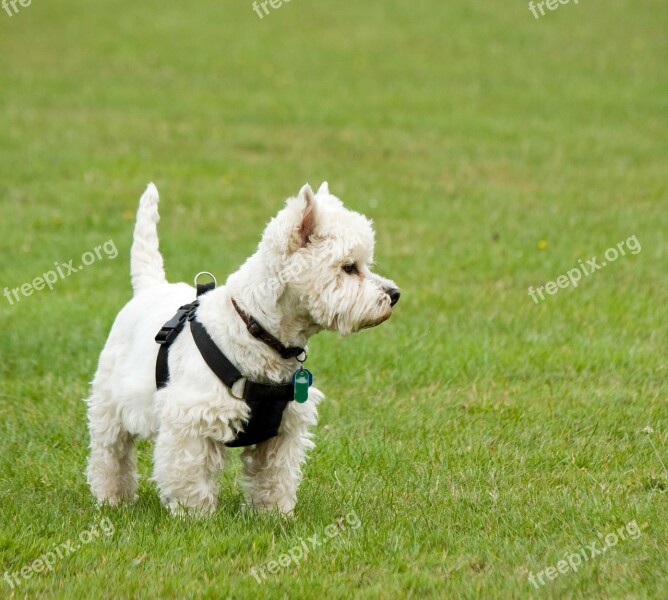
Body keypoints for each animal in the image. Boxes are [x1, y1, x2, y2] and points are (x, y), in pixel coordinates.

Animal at [83, 183, 396, 516]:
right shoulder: (191, 420)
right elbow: (190, 475)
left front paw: (275, 515)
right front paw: (194, 516)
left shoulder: (283, 431)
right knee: (110, 453)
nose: (395, 294)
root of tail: (149, 288)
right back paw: (112, 499)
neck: (256, 329)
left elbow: (274, 476)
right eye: (349, 267)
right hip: (109, 404)